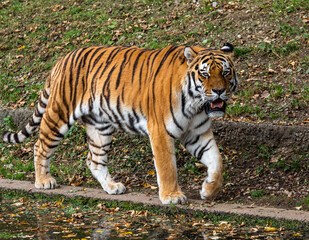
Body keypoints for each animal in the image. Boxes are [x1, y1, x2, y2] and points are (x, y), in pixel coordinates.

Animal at [1, 43, 238, 204]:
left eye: (226, 72)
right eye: (205, 74)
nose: (219, 91)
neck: (195, 105)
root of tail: (62, 59)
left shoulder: (198, 133)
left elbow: (217, 161)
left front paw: (209, 190)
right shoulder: (160, 131)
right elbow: (167, 167)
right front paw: (172, 196)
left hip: (100, 127)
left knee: (93, 160)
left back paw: (112, 186)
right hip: (59, 114)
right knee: (40, 146)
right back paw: (44, 181)